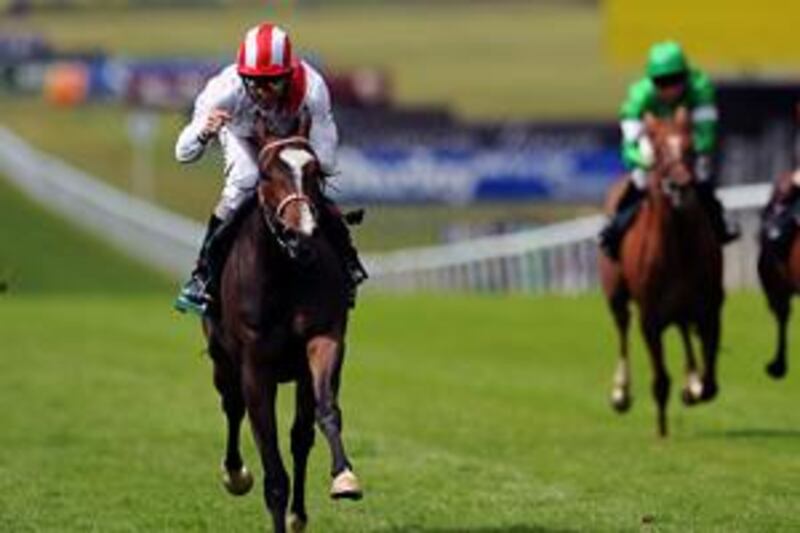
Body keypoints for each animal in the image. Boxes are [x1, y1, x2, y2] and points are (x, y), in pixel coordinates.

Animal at [202, 133, 360, 532]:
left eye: (314, 172)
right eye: (267, 175)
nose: (300, 235)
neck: (286, 271)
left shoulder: (323, 341)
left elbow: (325, 412)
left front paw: (344, 477)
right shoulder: (255, 368)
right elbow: (273, 472)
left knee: (300, 437)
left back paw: (298, 513)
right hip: (221, 359)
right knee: (232, 406)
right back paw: (235, 474)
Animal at [600, 109, 724, 436]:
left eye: (691, 147)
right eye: (656, 150)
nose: (680, 185)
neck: (677, 249)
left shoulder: (710, 308)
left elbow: (710, 383)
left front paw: (693, 388)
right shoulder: (650, 317)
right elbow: (660, 380)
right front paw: (662, 432)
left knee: (682, 329)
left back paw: (690, 379)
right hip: (616, 296)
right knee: (622, 328)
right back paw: (620, 392)